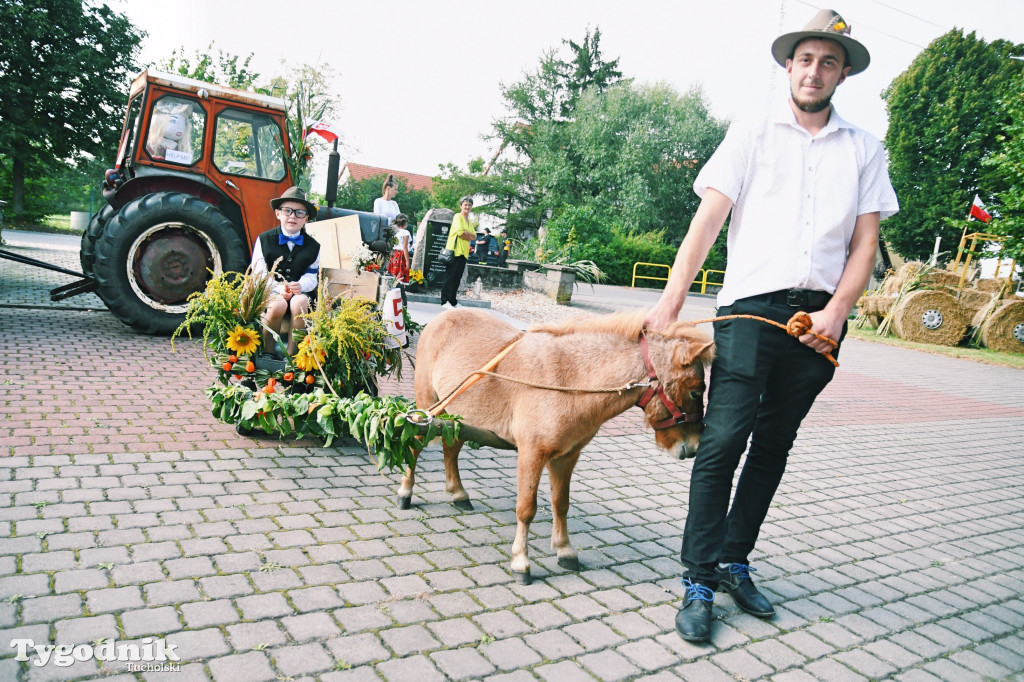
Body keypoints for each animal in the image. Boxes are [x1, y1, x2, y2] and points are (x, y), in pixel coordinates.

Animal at [399, 307, 712, 577]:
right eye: (697, 392)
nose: (693, 447)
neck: (569, 379)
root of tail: (442, 318)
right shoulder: (531, 454)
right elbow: (526, 509)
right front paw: (521, 563)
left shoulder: (566, 457)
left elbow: (561, 504)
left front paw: (565, 551)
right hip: (428, 405)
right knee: (414, 445)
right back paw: (406, 493)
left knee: (451, 448)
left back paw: (458, 494)